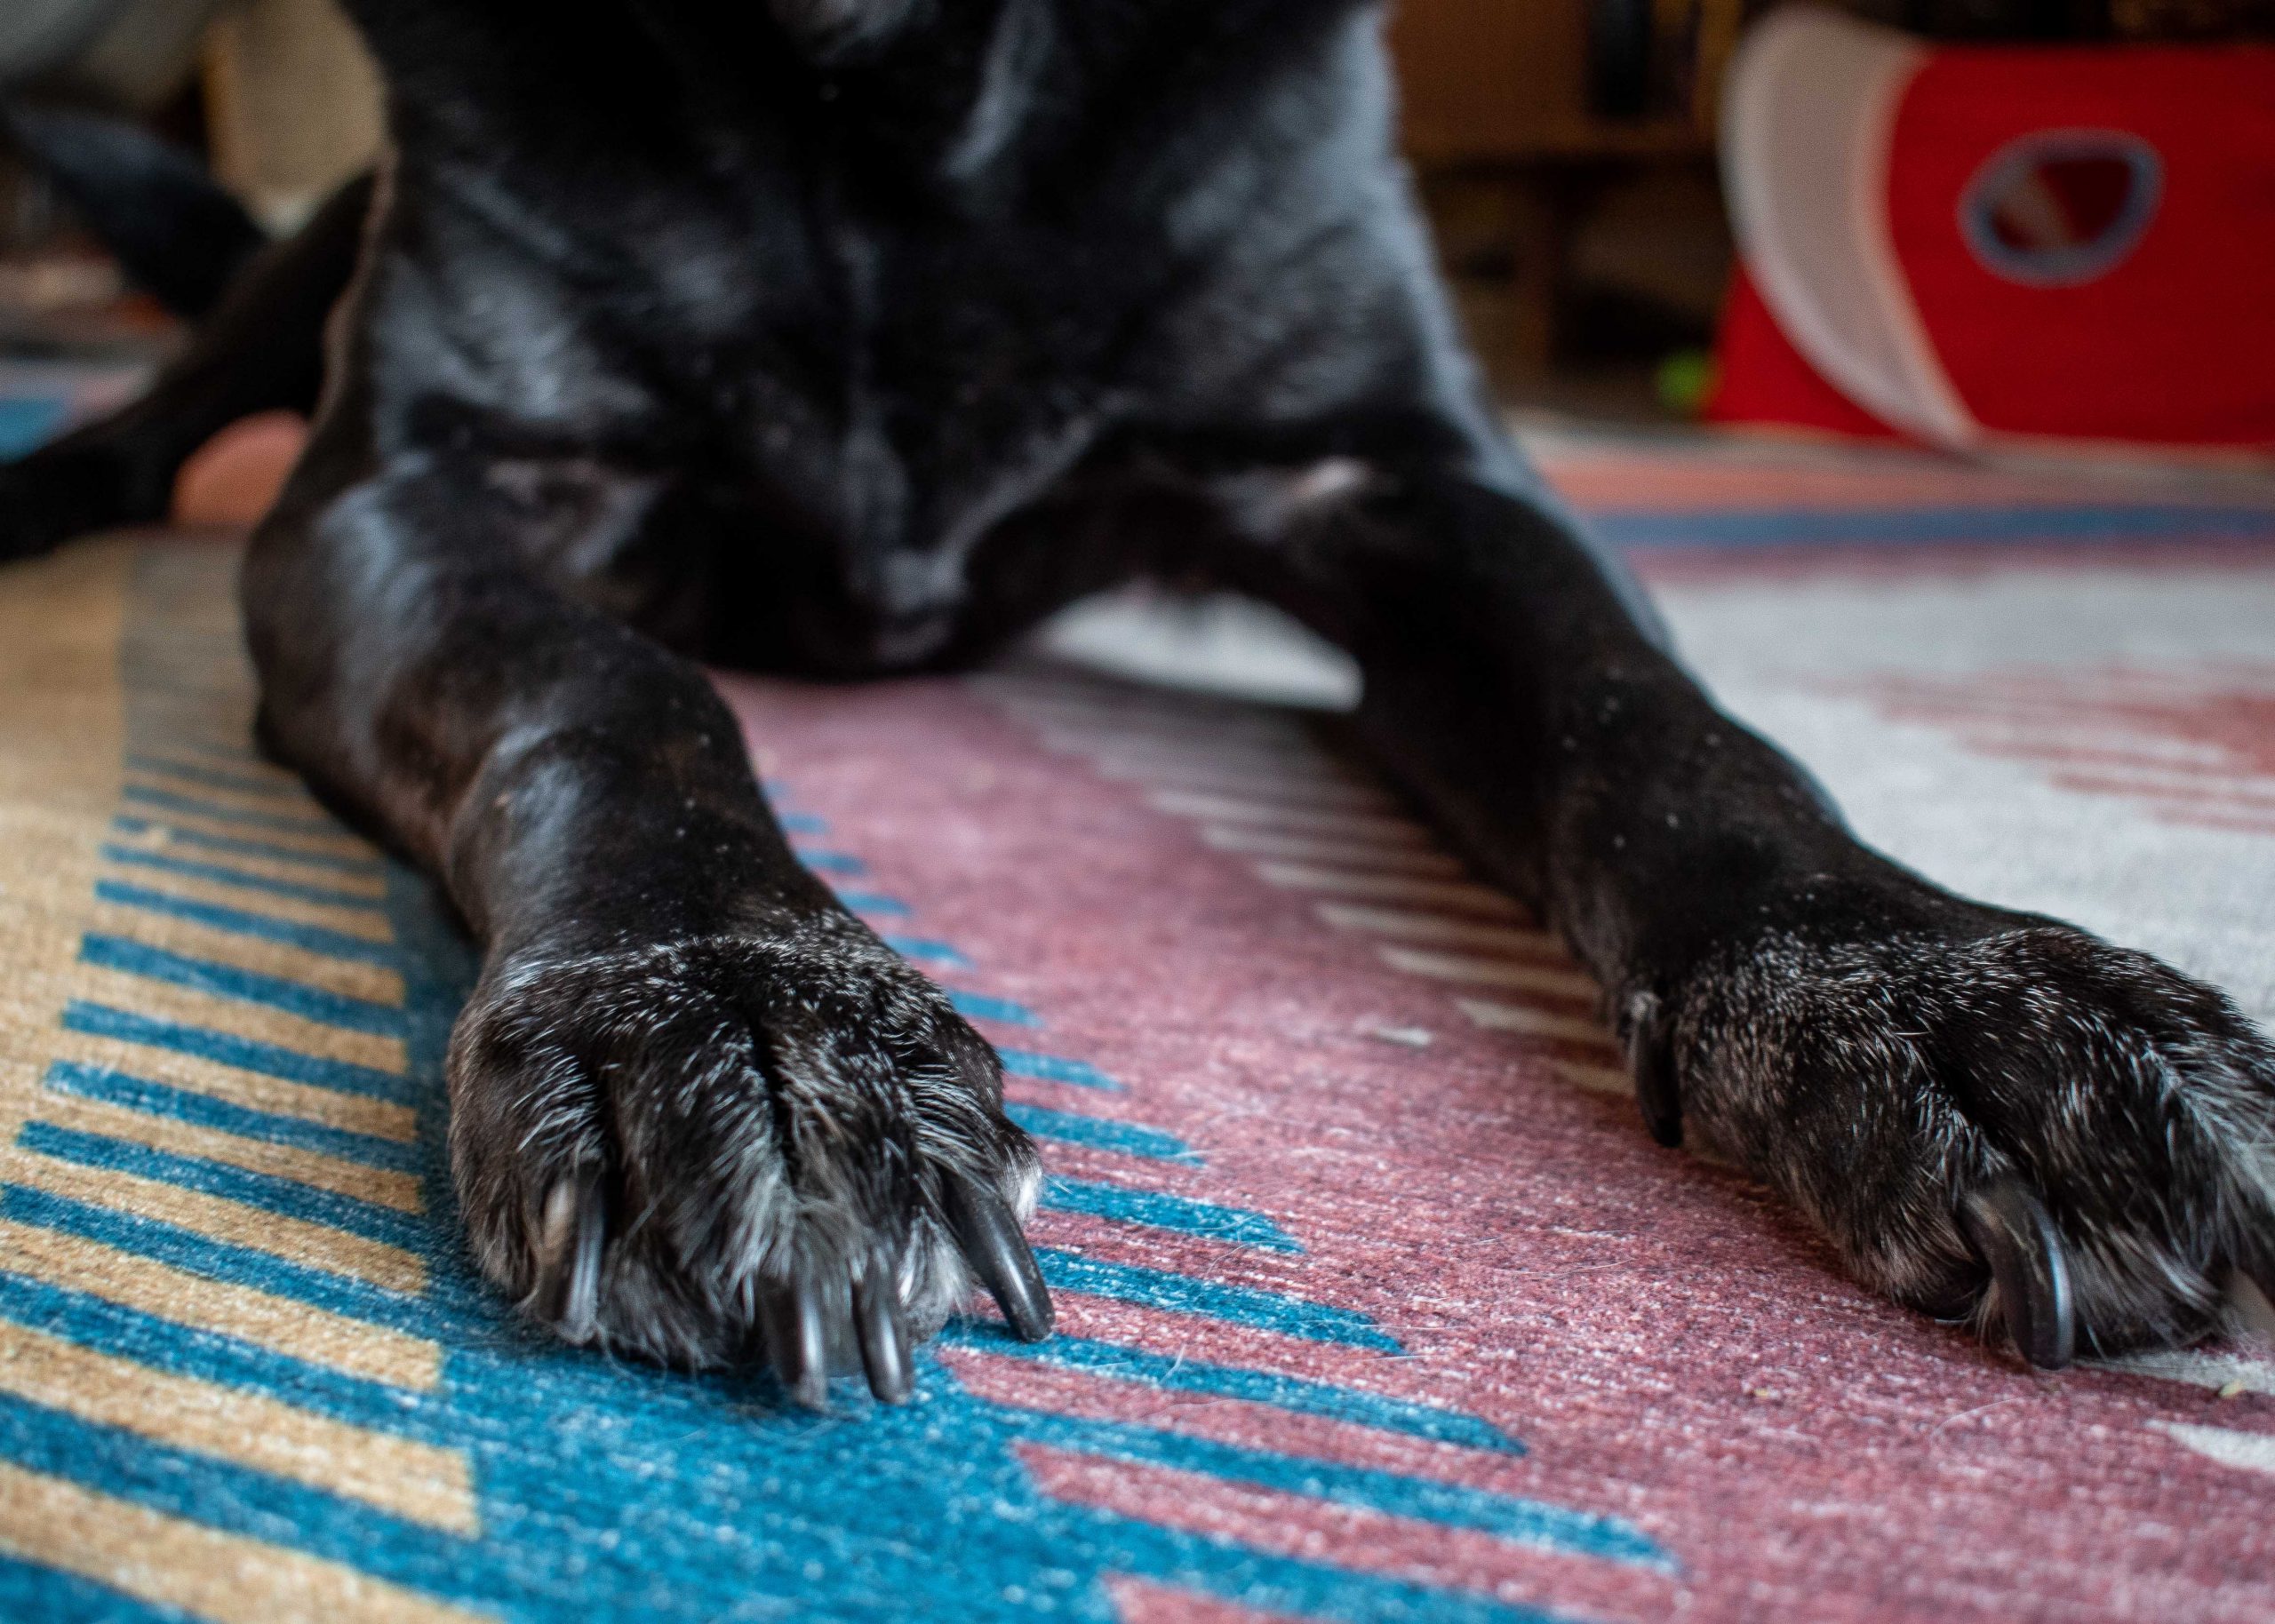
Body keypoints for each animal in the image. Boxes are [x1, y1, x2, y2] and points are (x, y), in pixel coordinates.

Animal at [4, 0, 2275, 1401]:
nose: (1945, 997)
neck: (877, 75)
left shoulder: (1403, 475)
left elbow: (1650, 716)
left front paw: (1931, 987)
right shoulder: (399, 496)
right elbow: (609, 678)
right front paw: (731, 1007)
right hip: (297, 271)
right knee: (168, 403)